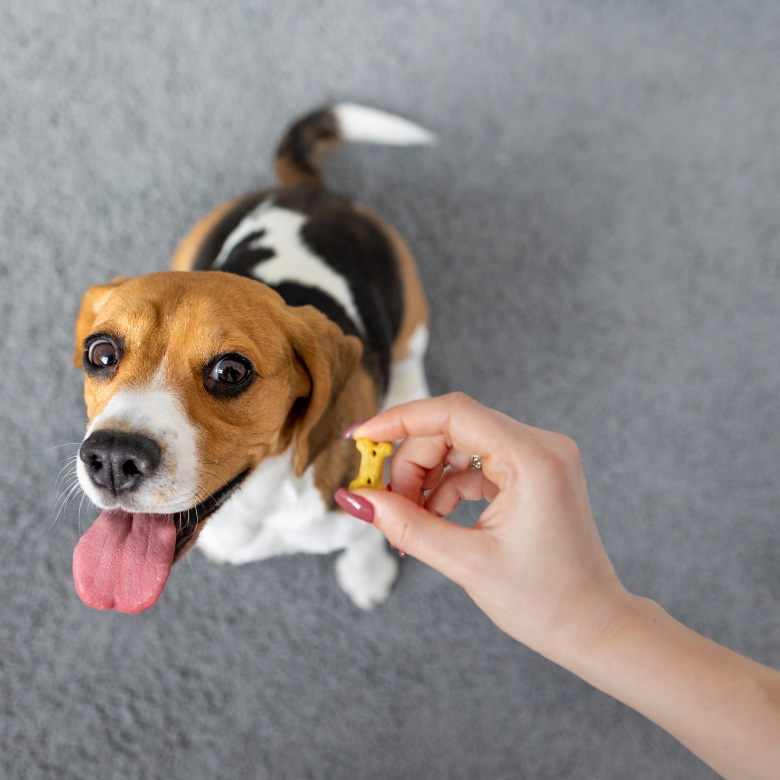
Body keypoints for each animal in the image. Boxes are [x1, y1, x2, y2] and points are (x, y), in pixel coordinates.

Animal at [71, 105, 436, 616]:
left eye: (231, 371)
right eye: (101, 353)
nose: (111, 458)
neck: (259, 502)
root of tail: (308, 191)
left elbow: (366, 538)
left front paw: (368, 576)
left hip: (412, 315)